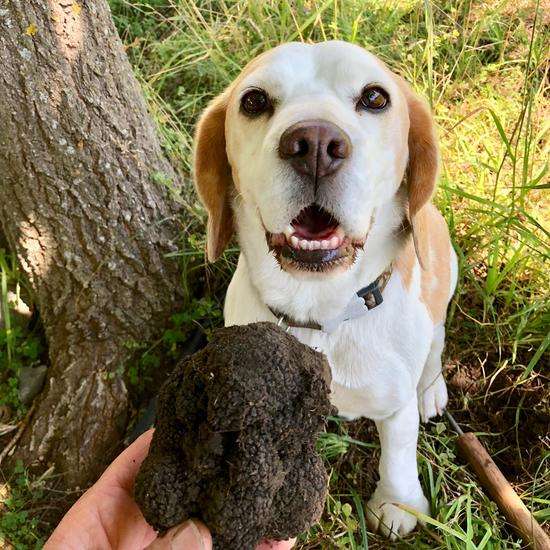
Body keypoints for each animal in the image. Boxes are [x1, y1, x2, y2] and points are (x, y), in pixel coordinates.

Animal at [192, 41, 460, 540]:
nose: (315, 144)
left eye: (375, 97)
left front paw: (397, 504)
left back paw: (430, 388)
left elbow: (399, 450)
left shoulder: (394, 404)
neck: (320, 315)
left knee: (437, 338)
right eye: (253, 101)